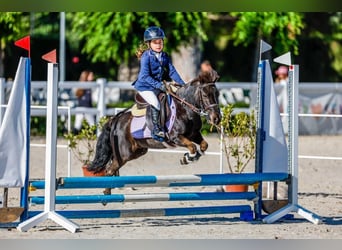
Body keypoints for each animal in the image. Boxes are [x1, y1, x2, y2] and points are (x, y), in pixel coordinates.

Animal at [88, 69, 220, 194]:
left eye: (217, 94)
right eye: (205, 95)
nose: (216, 119)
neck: (185, 109)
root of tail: (115, 120)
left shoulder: (194, 134)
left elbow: (204, 145)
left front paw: (194, 156)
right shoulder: (175, 137)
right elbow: (192, 146)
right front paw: (188, 158)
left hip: (137, 151)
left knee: (111, 168)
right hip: (124, 154)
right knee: (109, 169)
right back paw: (106, 194)